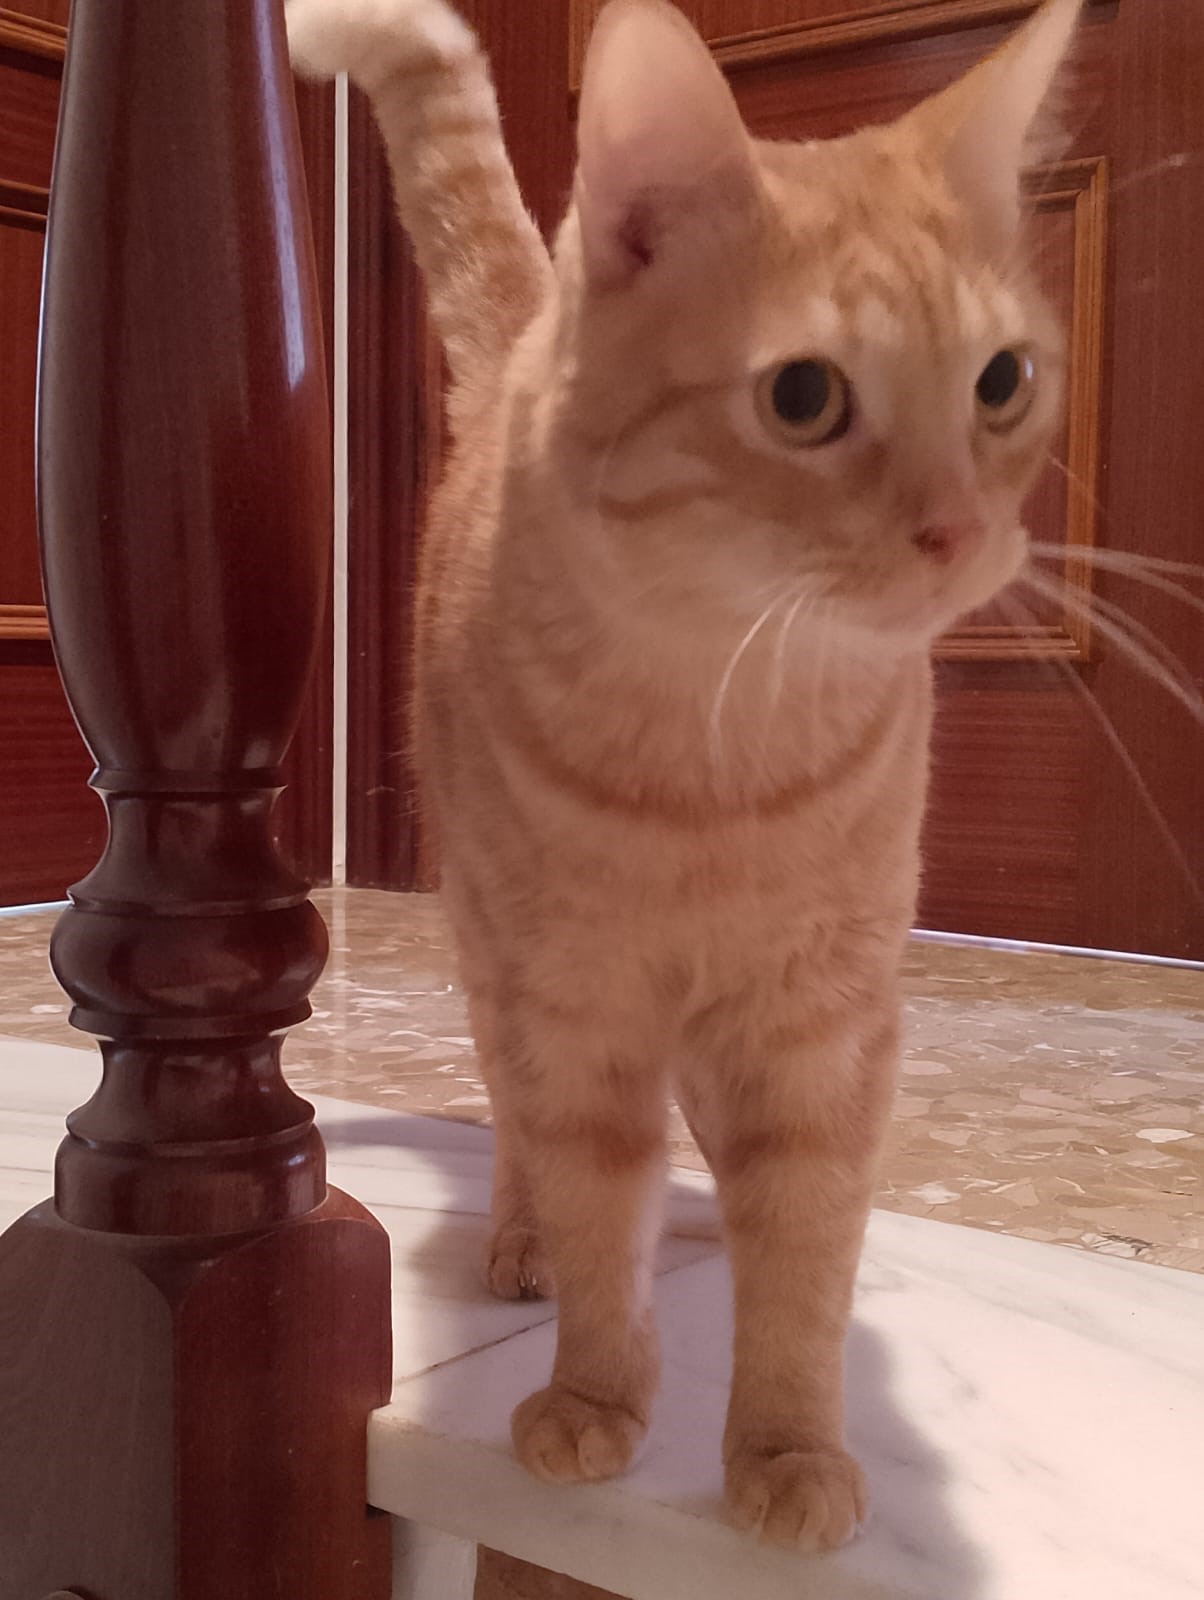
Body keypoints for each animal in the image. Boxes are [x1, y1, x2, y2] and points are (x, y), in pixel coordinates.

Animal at [287, 0, 1080, 1551]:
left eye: (1001, 382)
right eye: (804, 397)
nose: (961, 531)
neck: (722, 748)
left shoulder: (821, 1026)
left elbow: (806, 1257)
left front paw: (786, 1448)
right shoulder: (579, 1003)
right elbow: (601, 1204)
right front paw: (597, 1394)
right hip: (494, 956)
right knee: (523, 1128)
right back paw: (525, 1242)